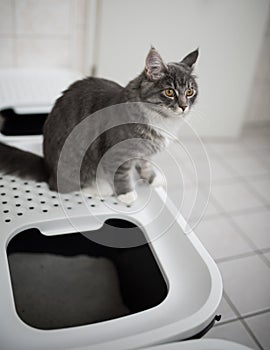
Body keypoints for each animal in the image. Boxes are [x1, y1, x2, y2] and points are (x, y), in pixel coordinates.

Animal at [0, 47, 198, 204]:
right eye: (169, 92)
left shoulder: (144, 152)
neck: (161, 119)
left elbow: (145, 164)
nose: (183, 106)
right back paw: (99, 188)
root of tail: (47, 167)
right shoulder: (116, 153)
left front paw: (153, 178)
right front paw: (126, 194)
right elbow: (121, 174)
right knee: (62, 186)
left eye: (190, 92)